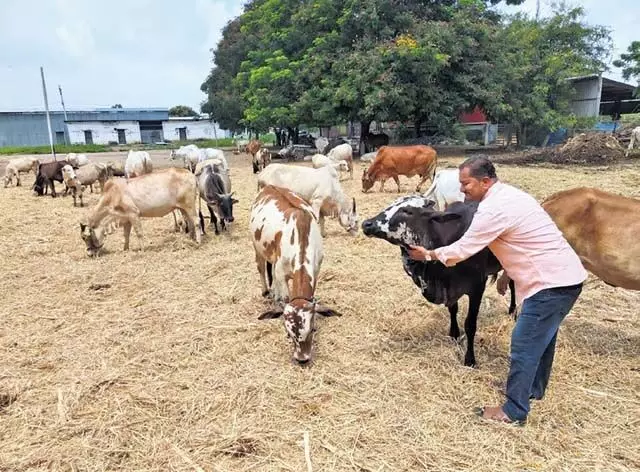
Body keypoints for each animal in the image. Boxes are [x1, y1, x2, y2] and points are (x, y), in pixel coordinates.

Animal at [362, 194, 512, 366]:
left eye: (407, 211)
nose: (366, 223)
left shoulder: (477, 287)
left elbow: (470, 324)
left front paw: (470, 359)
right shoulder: (449, 288)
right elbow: (453, 310)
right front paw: (454, 333)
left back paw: (513, 311)